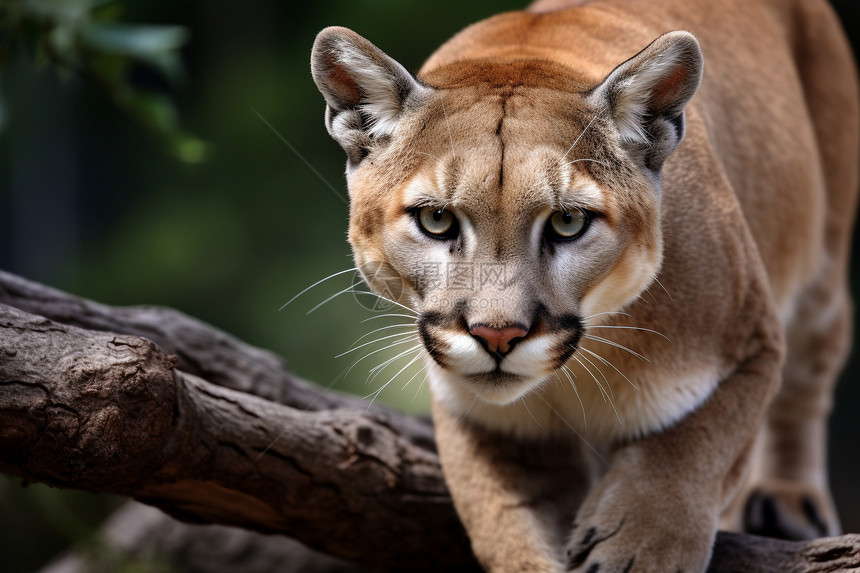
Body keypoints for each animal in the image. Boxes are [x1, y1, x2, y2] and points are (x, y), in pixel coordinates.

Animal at [310, 0, 852, 568]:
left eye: (567, 222)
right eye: (436, 219)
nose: (498, 335)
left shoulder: (753, 344)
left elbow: (693, 446)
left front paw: (640, 545)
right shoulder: (486, 422)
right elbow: (509, 526)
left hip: (824, 273)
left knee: (808, 384)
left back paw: (787, 502)